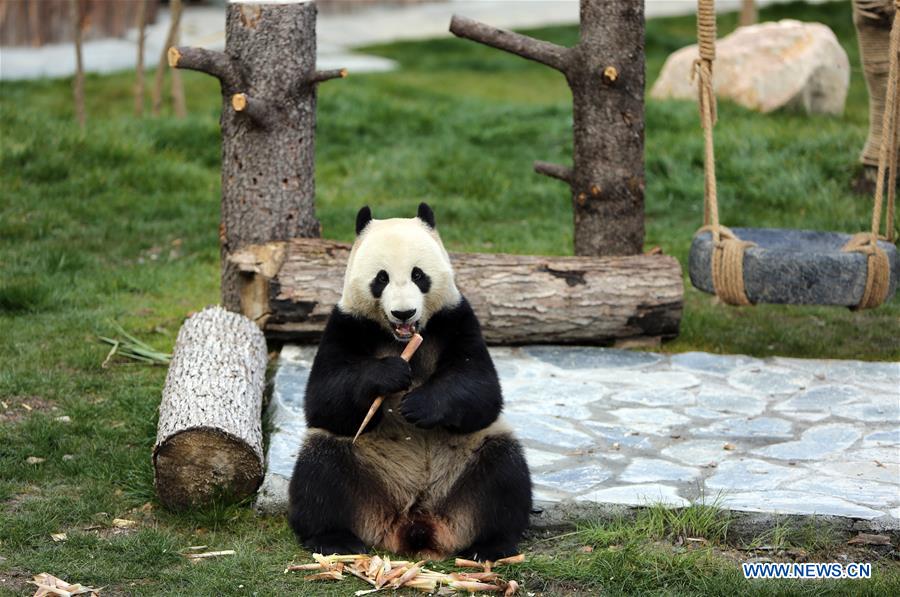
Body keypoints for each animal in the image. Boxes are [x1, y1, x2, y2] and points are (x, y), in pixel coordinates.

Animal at [288, 203, 532, 561]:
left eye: (419, 275)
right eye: (381, 278)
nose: (404, 313)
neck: (400, 338)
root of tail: (416, 524)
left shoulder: (455, 318)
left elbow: (482, 391)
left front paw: (419, 405)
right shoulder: (346, 323)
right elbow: (324, 398)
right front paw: (388, 375)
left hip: (469, 463)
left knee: (504, 473)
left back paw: (491, 544)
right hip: (360, 471)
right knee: (320, 471)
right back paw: (334, 539)